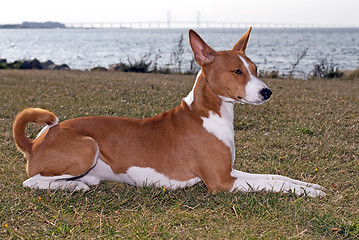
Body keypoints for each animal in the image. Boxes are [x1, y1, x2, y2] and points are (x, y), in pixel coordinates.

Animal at [13, 28, 326, 197]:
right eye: (237, 71)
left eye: (256, 69)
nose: (267, 92)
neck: (208, 114)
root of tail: (35, 142)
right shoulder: (222, 181)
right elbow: (273, 184)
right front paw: (307, 192)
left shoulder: (229, 170)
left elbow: (277, 178)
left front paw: (309, 186)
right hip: (88, 147)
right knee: (31, 181)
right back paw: (73, 187)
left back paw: (80, 183)